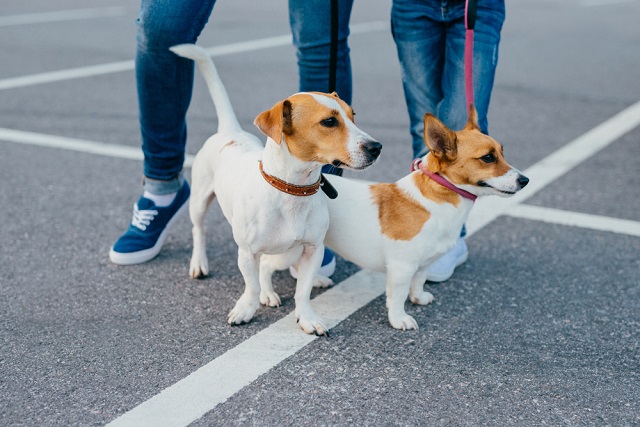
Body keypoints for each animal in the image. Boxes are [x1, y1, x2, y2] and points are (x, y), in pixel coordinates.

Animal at [169, 45, 380, 336]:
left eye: (353, 116)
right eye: (328, 121)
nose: (376, 147)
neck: (292, 189)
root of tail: (230, 131)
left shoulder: (313, 249)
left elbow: (302, 291)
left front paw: (307, 317)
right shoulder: (247, 253)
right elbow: (251, 285)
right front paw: (247, 309)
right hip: (200, 201)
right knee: (199, 231)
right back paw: (200, 264)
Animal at [264, 106, 524, 332]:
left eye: (502, 152)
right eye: (488, 158)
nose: (525, 180)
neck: (437, 198)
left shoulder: (422, 264)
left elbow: (419, 281)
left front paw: (418, 298)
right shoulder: (401, 267)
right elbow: (397, 297)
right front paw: (400, 319)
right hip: (287, 252)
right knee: (265, 267)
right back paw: (267, 294)